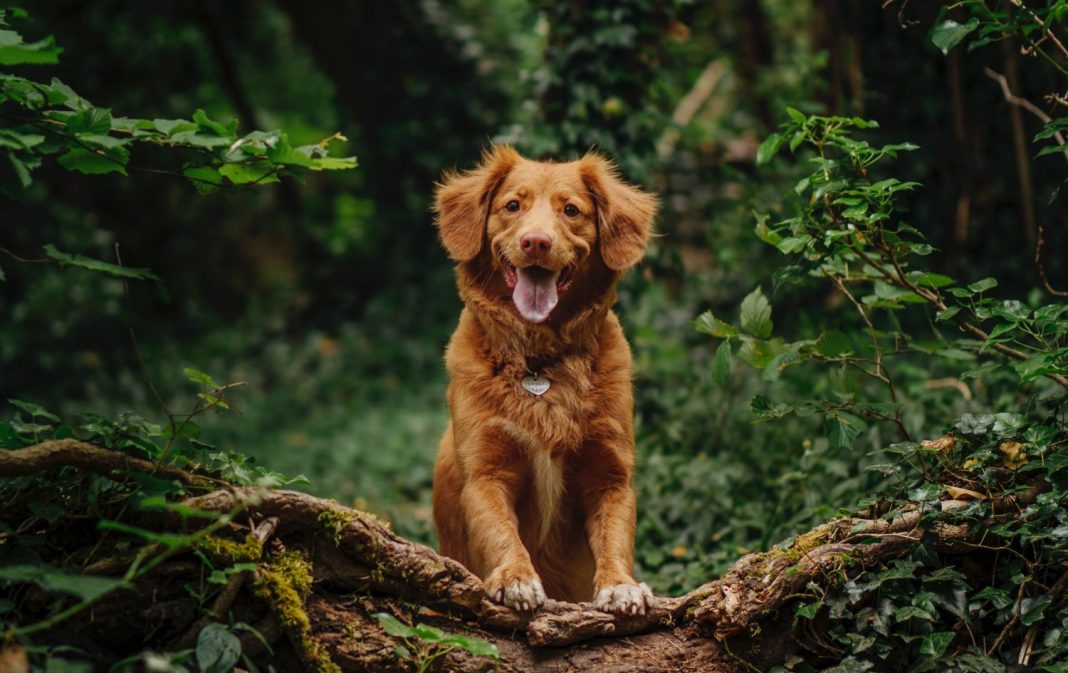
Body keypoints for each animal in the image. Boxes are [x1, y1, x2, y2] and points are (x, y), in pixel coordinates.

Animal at [429, 146, 653, 615]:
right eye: (513, 205)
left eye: (571, 210)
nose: (536, 242)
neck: (541, 363)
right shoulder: (486, 472)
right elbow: (500, 532)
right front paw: (515, 577)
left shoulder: (610, 474)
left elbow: (614, 537)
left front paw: (619, 585)